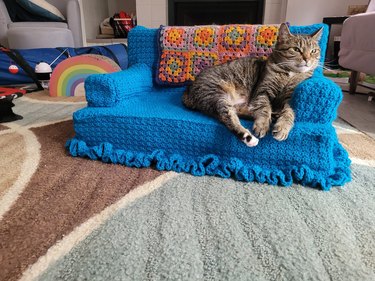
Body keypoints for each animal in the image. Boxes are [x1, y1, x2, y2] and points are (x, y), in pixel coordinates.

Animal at [182, 22, 324, 147]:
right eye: (296, 49)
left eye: (314, 51)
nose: (307, 59)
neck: (290, 74)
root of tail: (188, 90)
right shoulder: (262, 91)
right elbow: (264, 108)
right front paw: (262, 124)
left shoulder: (288, 99)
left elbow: (289, 112)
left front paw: (282, 127)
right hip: (216, 94)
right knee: (228, 117)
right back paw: (249, 137)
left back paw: (274, 115)